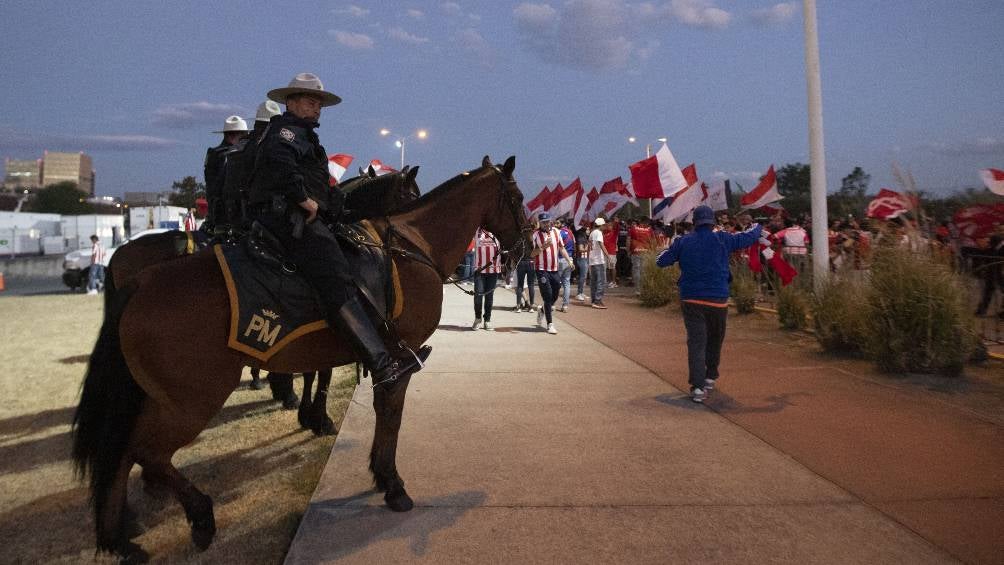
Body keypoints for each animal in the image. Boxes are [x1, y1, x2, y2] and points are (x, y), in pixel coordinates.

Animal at [72, 154, 526, 561]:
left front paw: (367, 463)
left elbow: (360, 399)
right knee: (145, 452)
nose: (522, 246)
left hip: (158, 397)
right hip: (192, 400)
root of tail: (141, 282)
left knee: (121, 451)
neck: (410, 248)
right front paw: (391, 482)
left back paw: (121, 537)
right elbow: (388, 412)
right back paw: (198, 518)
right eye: (519, 198)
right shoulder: (398, 356)